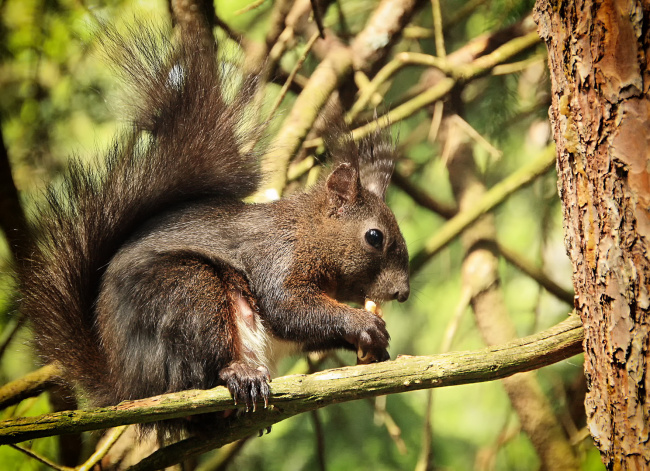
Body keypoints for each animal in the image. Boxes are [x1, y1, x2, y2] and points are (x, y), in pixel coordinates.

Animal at [17, 23, 408, 420]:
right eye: (374, 237)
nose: (402, 293)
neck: (306, 231)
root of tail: (127, 385)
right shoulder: (275, 256)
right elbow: (287, 307)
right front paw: (362, 323)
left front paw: (373, 346)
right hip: (188, 293)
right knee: (200, 365)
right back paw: (237, 373)